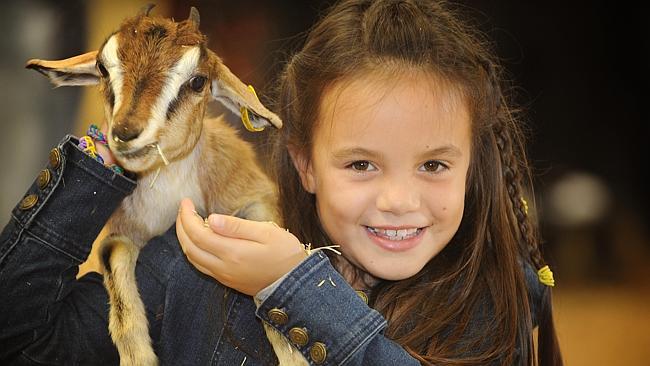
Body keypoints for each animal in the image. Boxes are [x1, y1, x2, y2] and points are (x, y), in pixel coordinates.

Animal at [26, 5, 306, 366]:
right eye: (103, 68)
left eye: (198, 81)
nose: (126, 132)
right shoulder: (123, 236)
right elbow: (112, 256)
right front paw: (139, 357)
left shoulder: (258, 202)